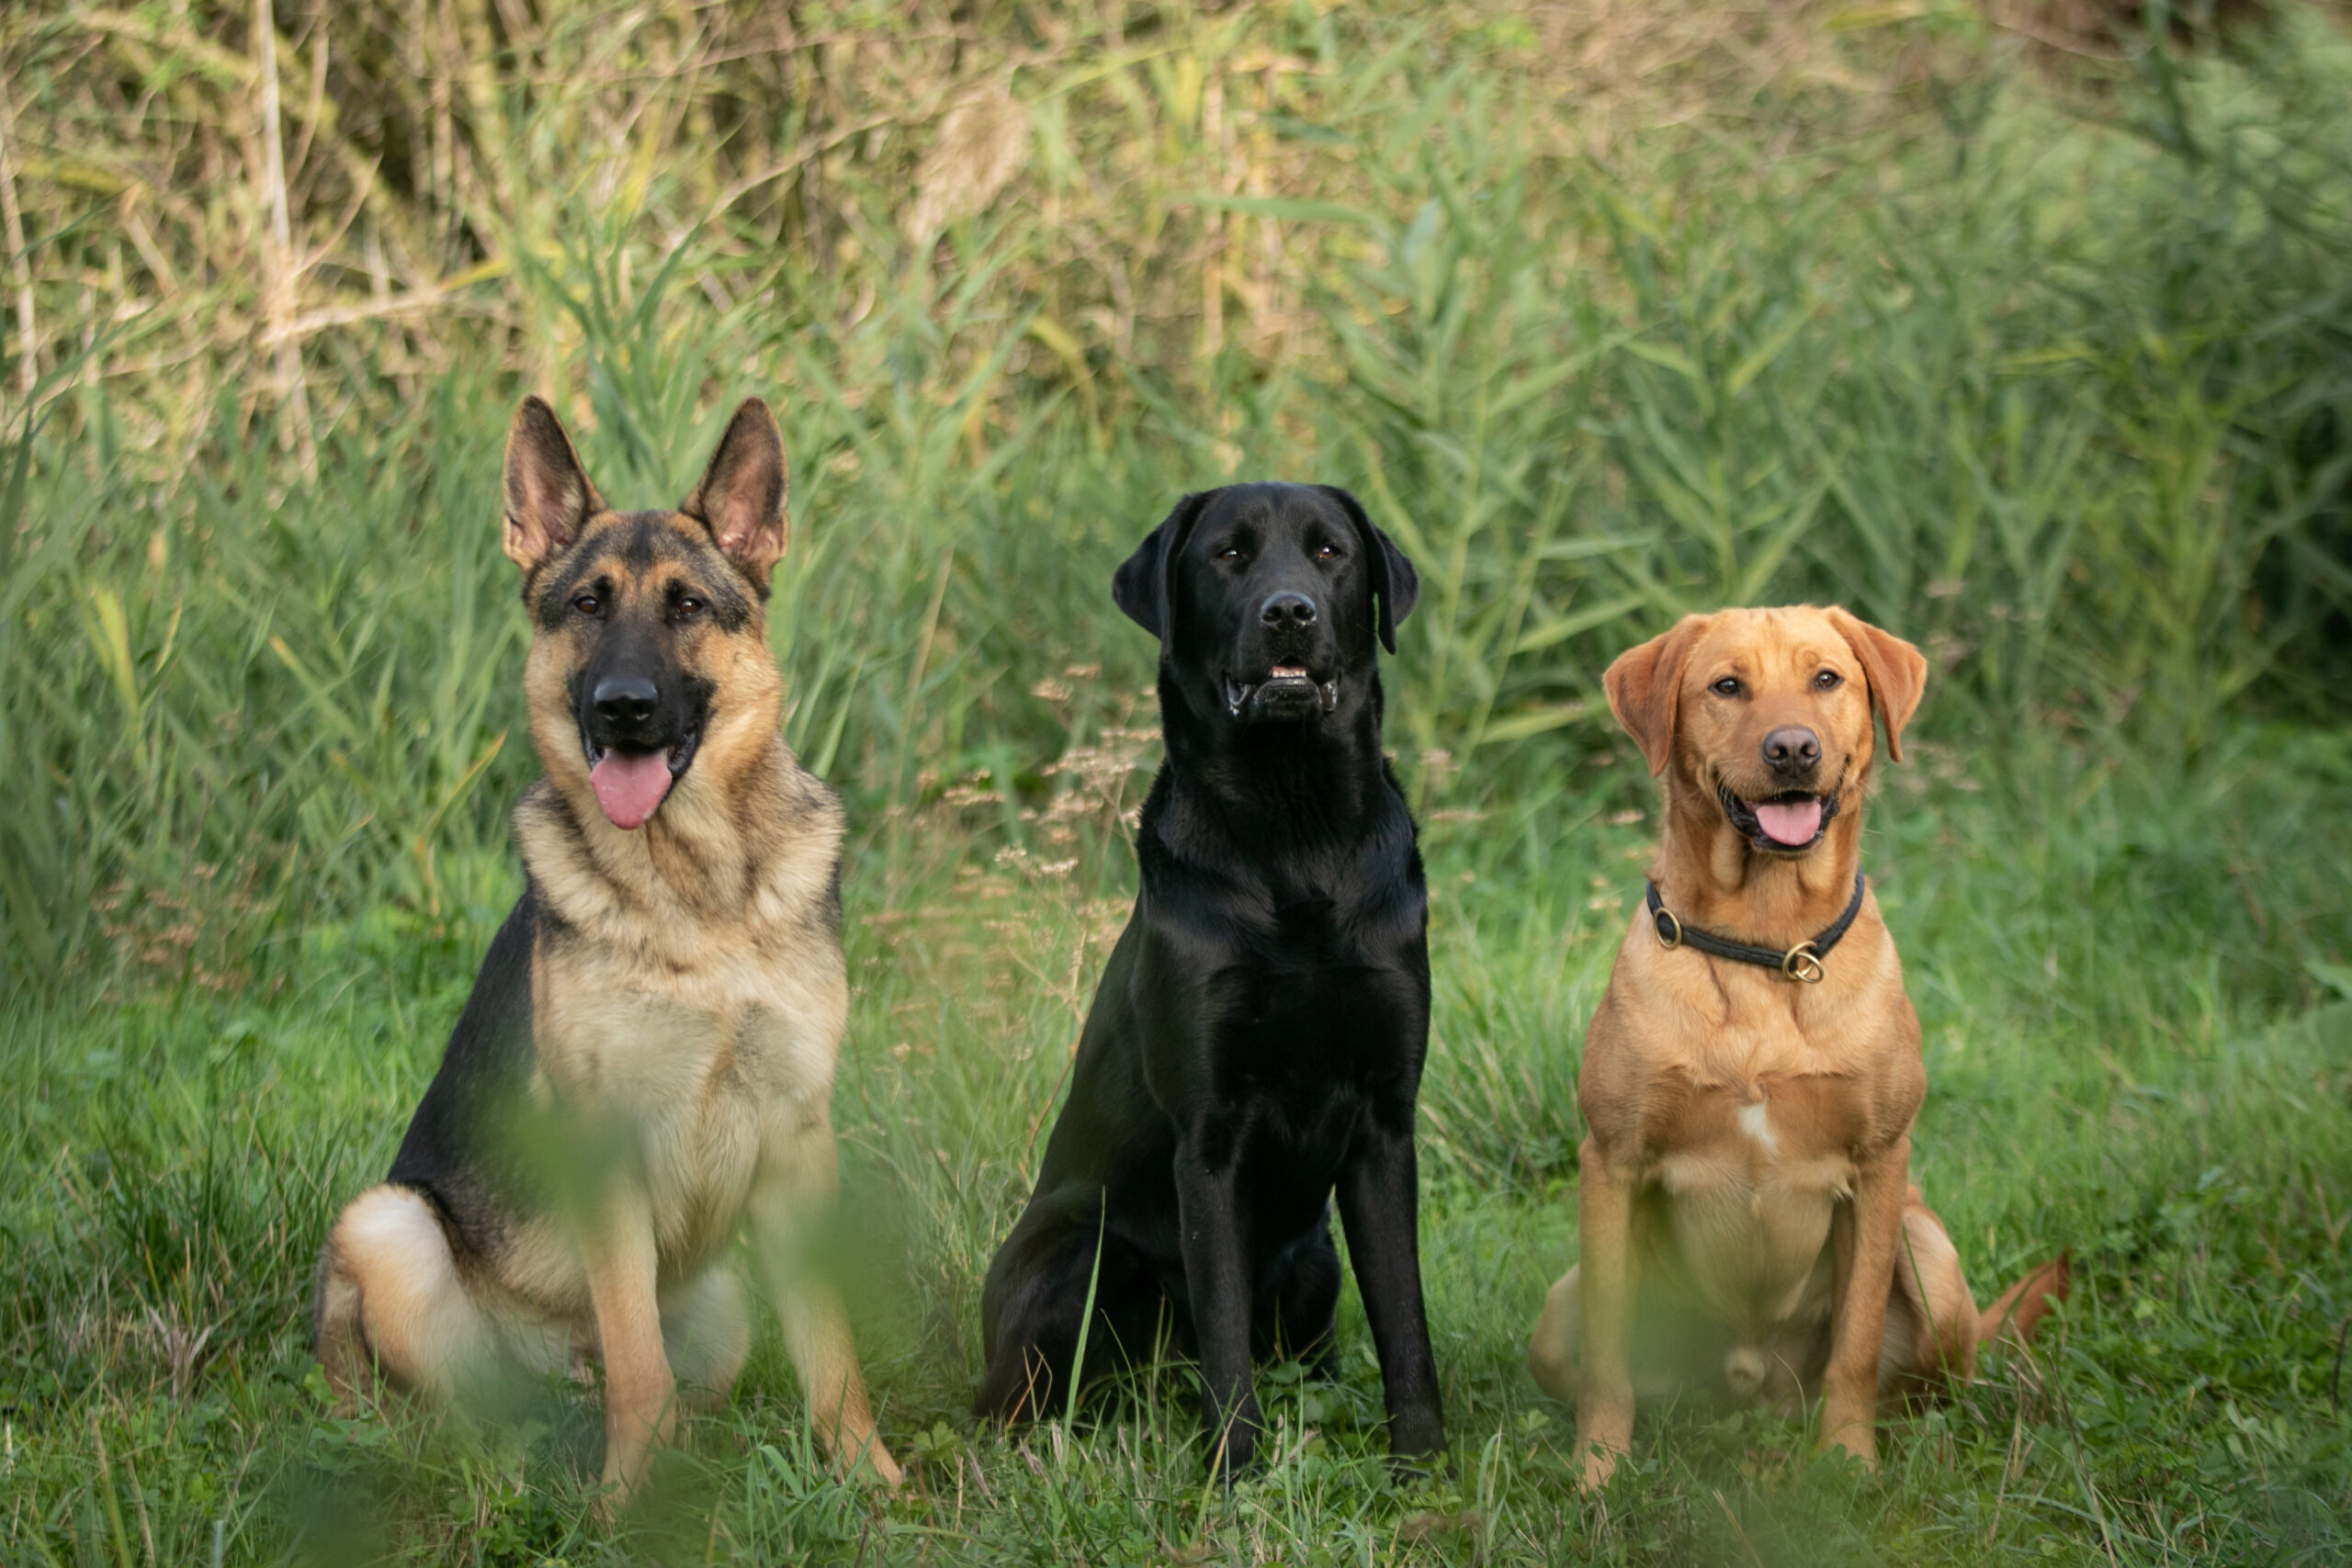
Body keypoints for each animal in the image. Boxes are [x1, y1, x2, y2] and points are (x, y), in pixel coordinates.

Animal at [308, 401, 893, 1504]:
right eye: (586, 604)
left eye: (686, 607)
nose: (622, 705)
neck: (696, 899)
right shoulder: (605, 1152)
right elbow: (634, 1360)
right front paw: (628, 1505)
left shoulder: (799, 1140)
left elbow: (833, 1350)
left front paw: (870, 1479)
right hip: (390, 1227)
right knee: (477, 1410)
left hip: (720, 1304)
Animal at [973, 484, 1448, 1476]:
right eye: (1228, 555)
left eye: (1330, 551)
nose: (1289, 612)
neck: (1294, 827)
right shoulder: (1209, 1136)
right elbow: (1224, 1328)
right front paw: (1234, 1474)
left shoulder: (1385, 1126)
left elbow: (1405, 1322)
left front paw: (1423, 1466)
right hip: (1079, 1255)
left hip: (1314, 1263)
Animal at [1523, 611, 2060, 1485]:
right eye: (1727, 685)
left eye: (1827, 679)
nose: (1793, 749)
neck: (1766, 944)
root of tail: (1751, 1386)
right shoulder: (1611, 1159)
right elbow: (1608, 1361)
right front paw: (1598, 1472)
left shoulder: (1879, 1164)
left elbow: (1856, 1342)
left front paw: (1848, 1462)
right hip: (1560, 1306)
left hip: (1931, 1259)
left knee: (1928, 1381)